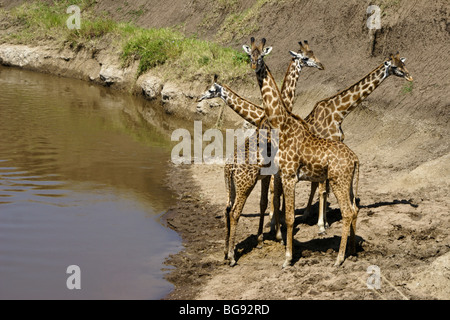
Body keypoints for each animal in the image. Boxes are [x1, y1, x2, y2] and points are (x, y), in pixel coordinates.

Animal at [198, 44, 324, 264]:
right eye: (307, 57)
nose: (321, 65)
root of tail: (229, 167)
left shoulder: (267, 174)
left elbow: (266, 201)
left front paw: (263, 237)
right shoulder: (275, 172)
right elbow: (274, 200)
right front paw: (277, 235)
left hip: (231, 186)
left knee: (227, 209)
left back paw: (226, 252)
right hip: (245, 184)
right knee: (235, 212)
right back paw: (232, 256)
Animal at [244, 38, 360, 268]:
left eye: (261, 56)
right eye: (249, 54)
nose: (254, 65)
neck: (282, 124)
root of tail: (355, 159)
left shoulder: (289, 176)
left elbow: (289, 217)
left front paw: (288, 258)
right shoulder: (283, 174)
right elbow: (282, 209)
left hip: (338, 181)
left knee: (347, 211)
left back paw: (338, 259)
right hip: (348, 183)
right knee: (353, 210)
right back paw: (351, 250)